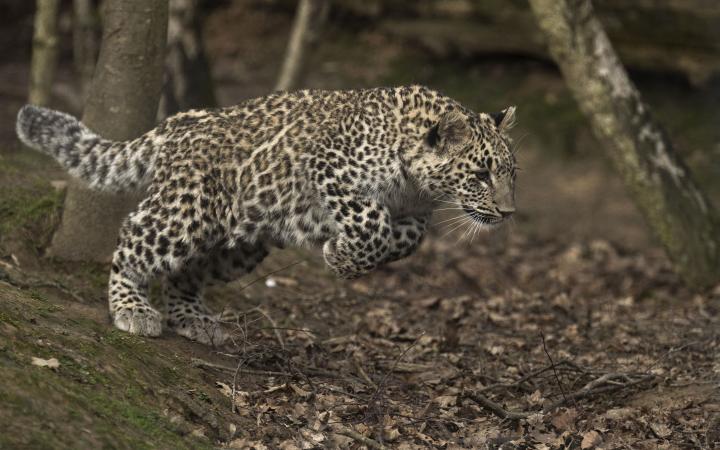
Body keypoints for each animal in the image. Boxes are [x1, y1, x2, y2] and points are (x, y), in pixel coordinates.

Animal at [14, 85, 516, 344]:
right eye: (481, 174)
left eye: (511, 174)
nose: (509, 211)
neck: (415, 185)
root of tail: (179, 122)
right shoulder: (327, 164)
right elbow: (370, 220)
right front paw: (339, 255)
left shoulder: (415, 214)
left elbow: (404, 240)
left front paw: (347, 257)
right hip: (185, 213)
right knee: (132, 238)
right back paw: (131, 307)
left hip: (239, 246)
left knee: (186, 274)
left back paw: (192, 318)